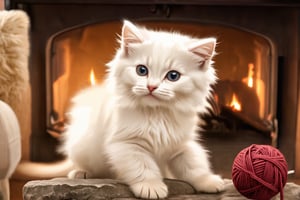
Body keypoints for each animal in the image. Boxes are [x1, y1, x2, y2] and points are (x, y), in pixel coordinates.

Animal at [61, 19, 224, 198]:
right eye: (142, 70)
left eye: (173, 76)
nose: (151, 86)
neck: (157, 113)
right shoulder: (127, 144)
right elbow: (143, 167)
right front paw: (151, 187)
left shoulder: (181, 144)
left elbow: (194, 164)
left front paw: (208, 181)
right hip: (81, 145)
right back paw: (81, 173)